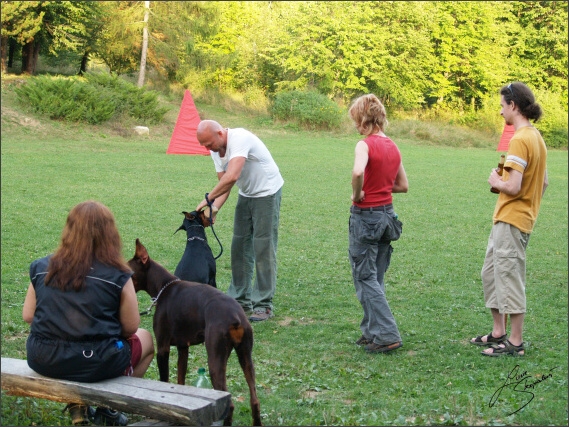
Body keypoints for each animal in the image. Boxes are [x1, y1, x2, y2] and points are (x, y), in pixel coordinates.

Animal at [127, 239, 260, 426]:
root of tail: (236, 316)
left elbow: (164, 380)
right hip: (246, 355)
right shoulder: (183, 348)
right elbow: (180, 380)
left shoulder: (163, 348)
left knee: (231, 404)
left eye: (128, 271)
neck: (164, 287)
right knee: (254, 400)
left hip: (216, 359)